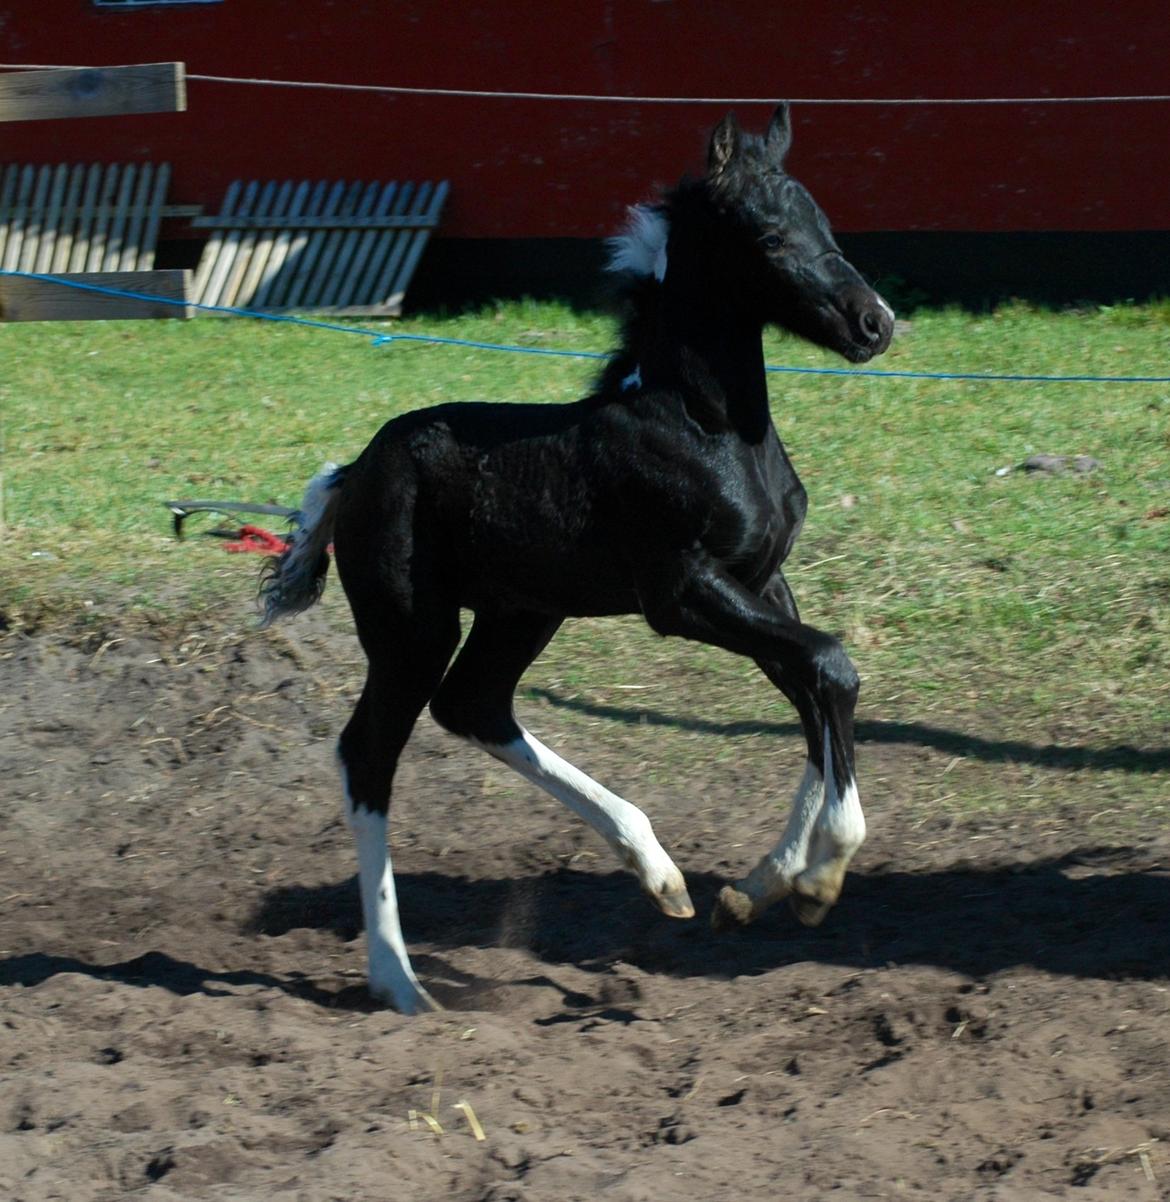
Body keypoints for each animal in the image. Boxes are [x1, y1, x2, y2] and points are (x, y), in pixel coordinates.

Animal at [259, 108, 889, 1014]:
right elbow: (831, 666)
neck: (705, 425)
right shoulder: (683, 592)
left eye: (826, 223)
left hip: (522, 610)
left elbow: (812, 686)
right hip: (411, 631)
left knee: (474, 705)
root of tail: (356, 471)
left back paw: (660, 875)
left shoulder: (763, 580)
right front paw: (820, 875)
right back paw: (400, 980)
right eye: (770, 237)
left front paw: (759, 886)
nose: (876, 324)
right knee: (368, 755)